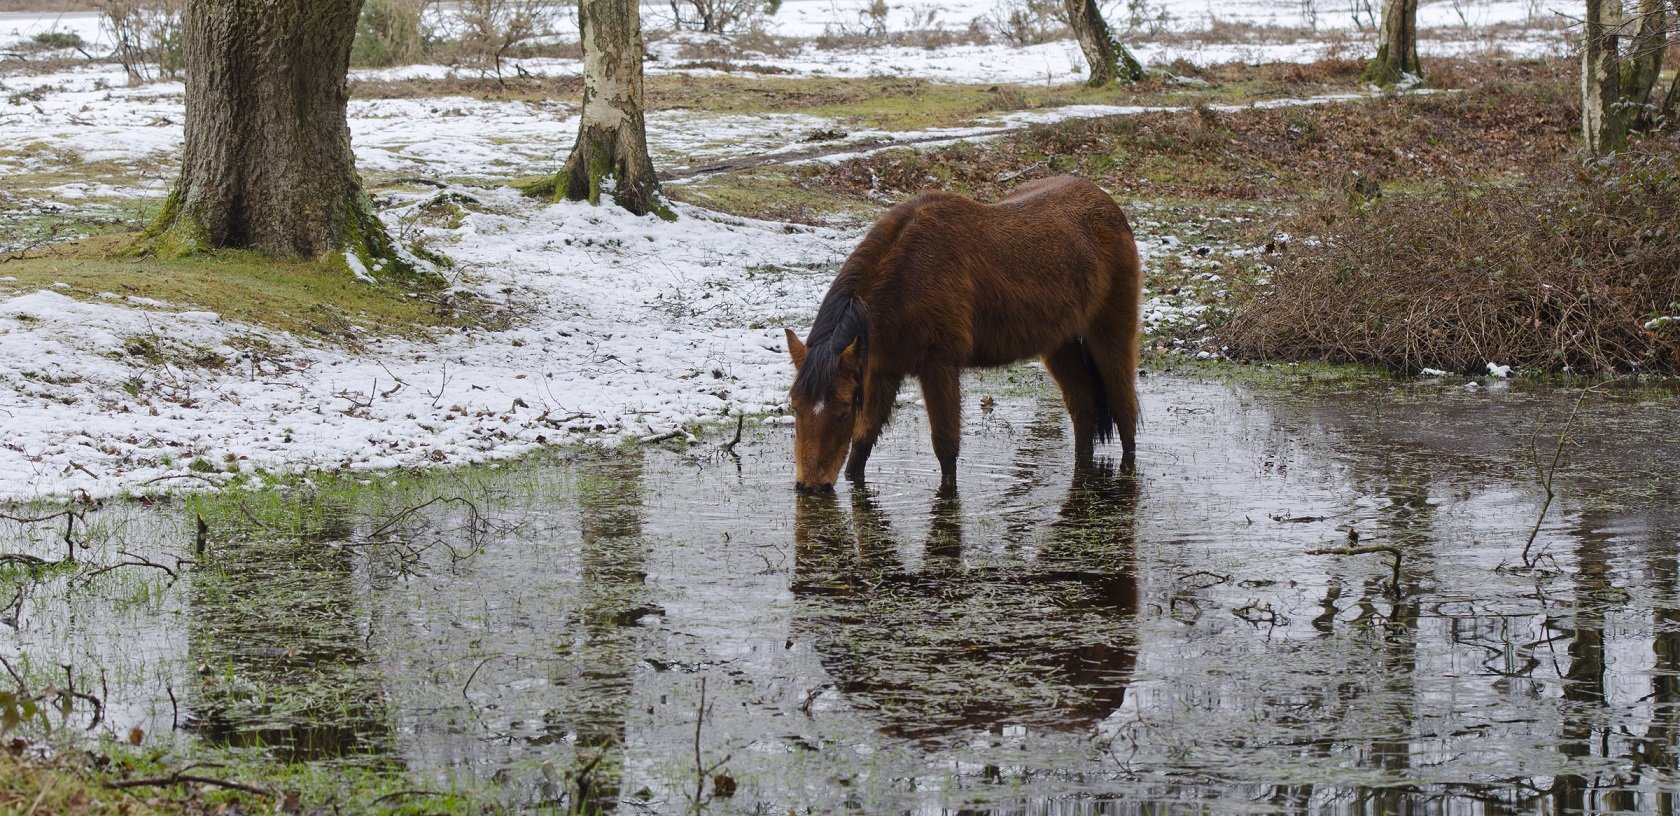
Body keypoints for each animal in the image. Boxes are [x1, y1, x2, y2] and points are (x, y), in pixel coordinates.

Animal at [786, 173, 1142, 490]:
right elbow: (862, 443)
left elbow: (946, 450)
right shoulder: (882, 370)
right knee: (1083, 408)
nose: (811, 486)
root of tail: (1106, 205)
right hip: (1059, 344)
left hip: (1110, 334)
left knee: (1124, 412)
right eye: (795, 406)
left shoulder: (938, 366)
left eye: (843, 409)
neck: (908, 274)